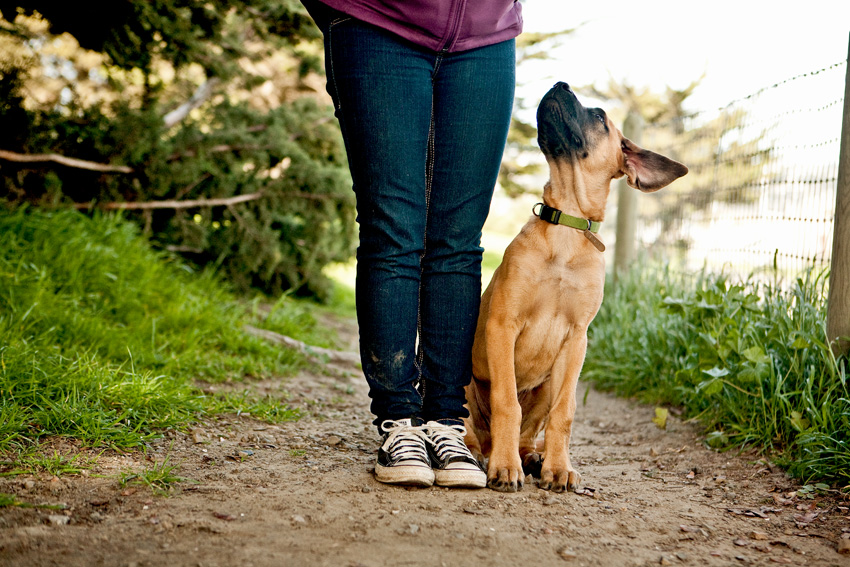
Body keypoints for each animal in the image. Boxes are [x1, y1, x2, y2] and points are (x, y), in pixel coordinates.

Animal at [464, 83, 688, 492]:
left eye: (599, 116)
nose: (559, 85)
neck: (566, 227)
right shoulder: (503, 325)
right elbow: (507, 403)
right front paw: (504, 467)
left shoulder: (576, 340)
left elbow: (563, 413)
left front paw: (558, 467)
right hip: (467, 382)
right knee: (472, 428)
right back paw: (484, 454)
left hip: (546, 384)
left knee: (529, 433)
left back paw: (532, 458)